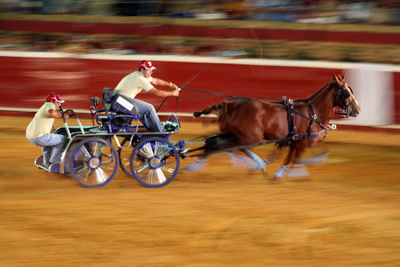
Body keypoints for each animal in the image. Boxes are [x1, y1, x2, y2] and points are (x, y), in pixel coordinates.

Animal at [187, 74, 360, 179]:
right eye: (346, 92)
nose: (357, 109)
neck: (313, 112)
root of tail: (232, 105)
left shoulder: (296, 141)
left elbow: (296, 157)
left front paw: (280, 172)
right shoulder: (302, 142)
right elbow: (296, 159)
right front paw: (291, 173)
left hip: (233, 133)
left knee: (215, 143)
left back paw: (194, 166)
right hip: (251, 136)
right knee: (238, 147)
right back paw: (256, 164)